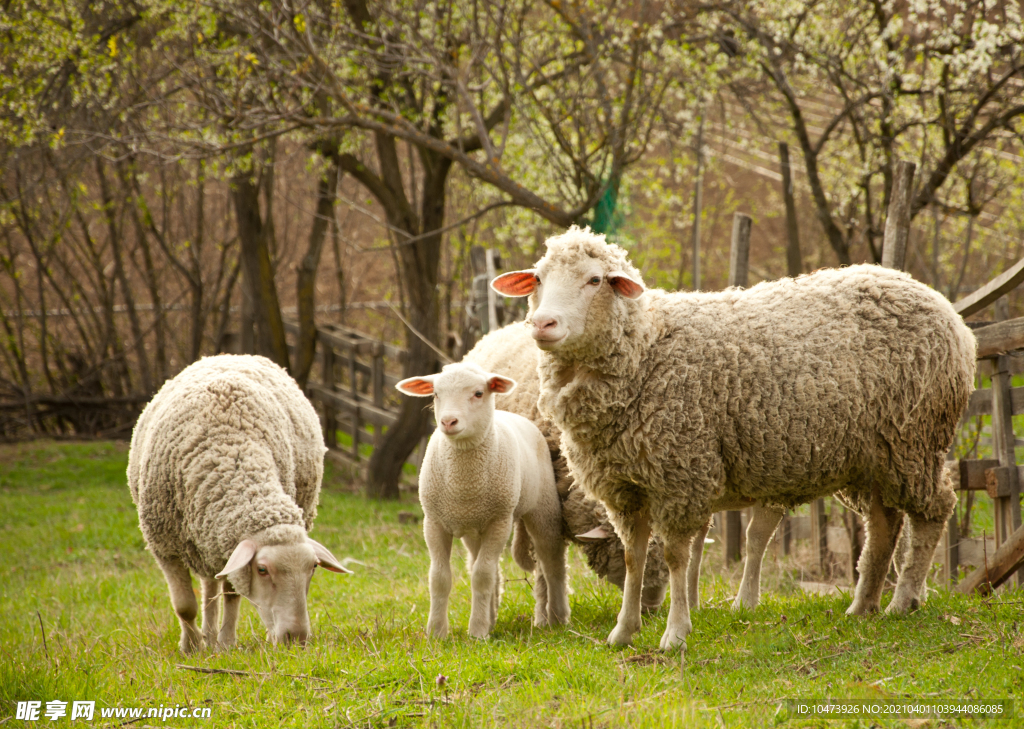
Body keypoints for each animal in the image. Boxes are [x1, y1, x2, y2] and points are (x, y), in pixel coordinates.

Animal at [128, 354, 350, 655]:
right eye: (262, 570)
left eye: (313, 567)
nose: (296, 639)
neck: (231, 450)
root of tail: (232, 355)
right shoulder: (165, 547)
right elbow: (184, 607)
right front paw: (191, 646)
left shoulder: (229, 548)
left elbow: (232, 595)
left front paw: (225, 643)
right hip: (202, 538)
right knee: (208, 587)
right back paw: (205, 637)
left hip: (212, 539)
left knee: (213, 586)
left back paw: (213, 636)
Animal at [395, 362, 569, 638]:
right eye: (435, 394)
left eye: (478, 393)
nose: (448, 421)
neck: (464, 483)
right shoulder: (434, 522)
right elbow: (440, 577)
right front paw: (436, 632)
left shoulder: (500, 521)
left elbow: (482, 576)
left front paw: (476, 632)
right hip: (474, 529)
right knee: (491, 568)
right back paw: (492, 618)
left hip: (543, 508)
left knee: (552, 562)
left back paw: (558, 618)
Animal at [495, 226, 974, 651]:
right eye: (538, 278)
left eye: (595, 280)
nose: (543, 323)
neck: (646, 349)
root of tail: (943, 307)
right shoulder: (625, 489)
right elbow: (634, 557)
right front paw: (623, 632)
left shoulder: (681, 475)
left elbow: (676, 558)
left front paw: (675, 634)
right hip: (872, 458)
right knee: (883, 524)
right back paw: (862, 606)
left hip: (915, 441)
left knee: (934, 510)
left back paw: (903, 600)